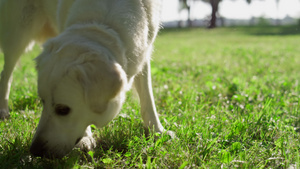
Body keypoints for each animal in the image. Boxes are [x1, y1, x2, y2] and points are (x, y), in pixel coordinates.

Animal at [0, 0, 171, 158]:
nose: (34, 150)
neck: (99, 25)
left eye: (63, 110)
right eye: (43, 101)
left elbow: (147, 98)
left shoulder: (144, 52)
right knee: (6, 74)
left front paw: (157, 131)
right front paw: (86, 138)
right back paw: (3, 110)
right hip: (18, 35)